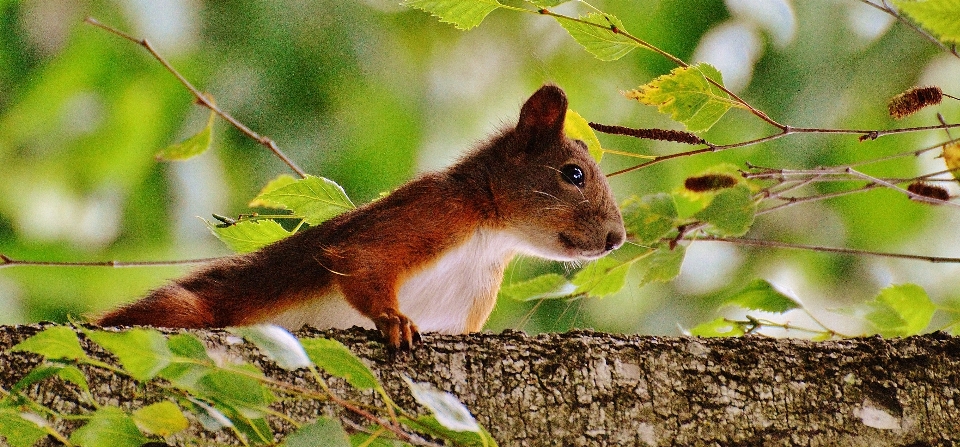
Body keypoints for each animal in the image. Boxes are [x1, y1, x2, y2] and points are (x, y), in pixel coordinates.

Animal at [95, 85, 624, 350]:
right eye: (574, 174)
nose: (617, 238)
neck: (490, 239)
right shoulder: (433, 210)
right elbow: (361, 257)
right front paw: (393, 321)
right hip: (188, 310)